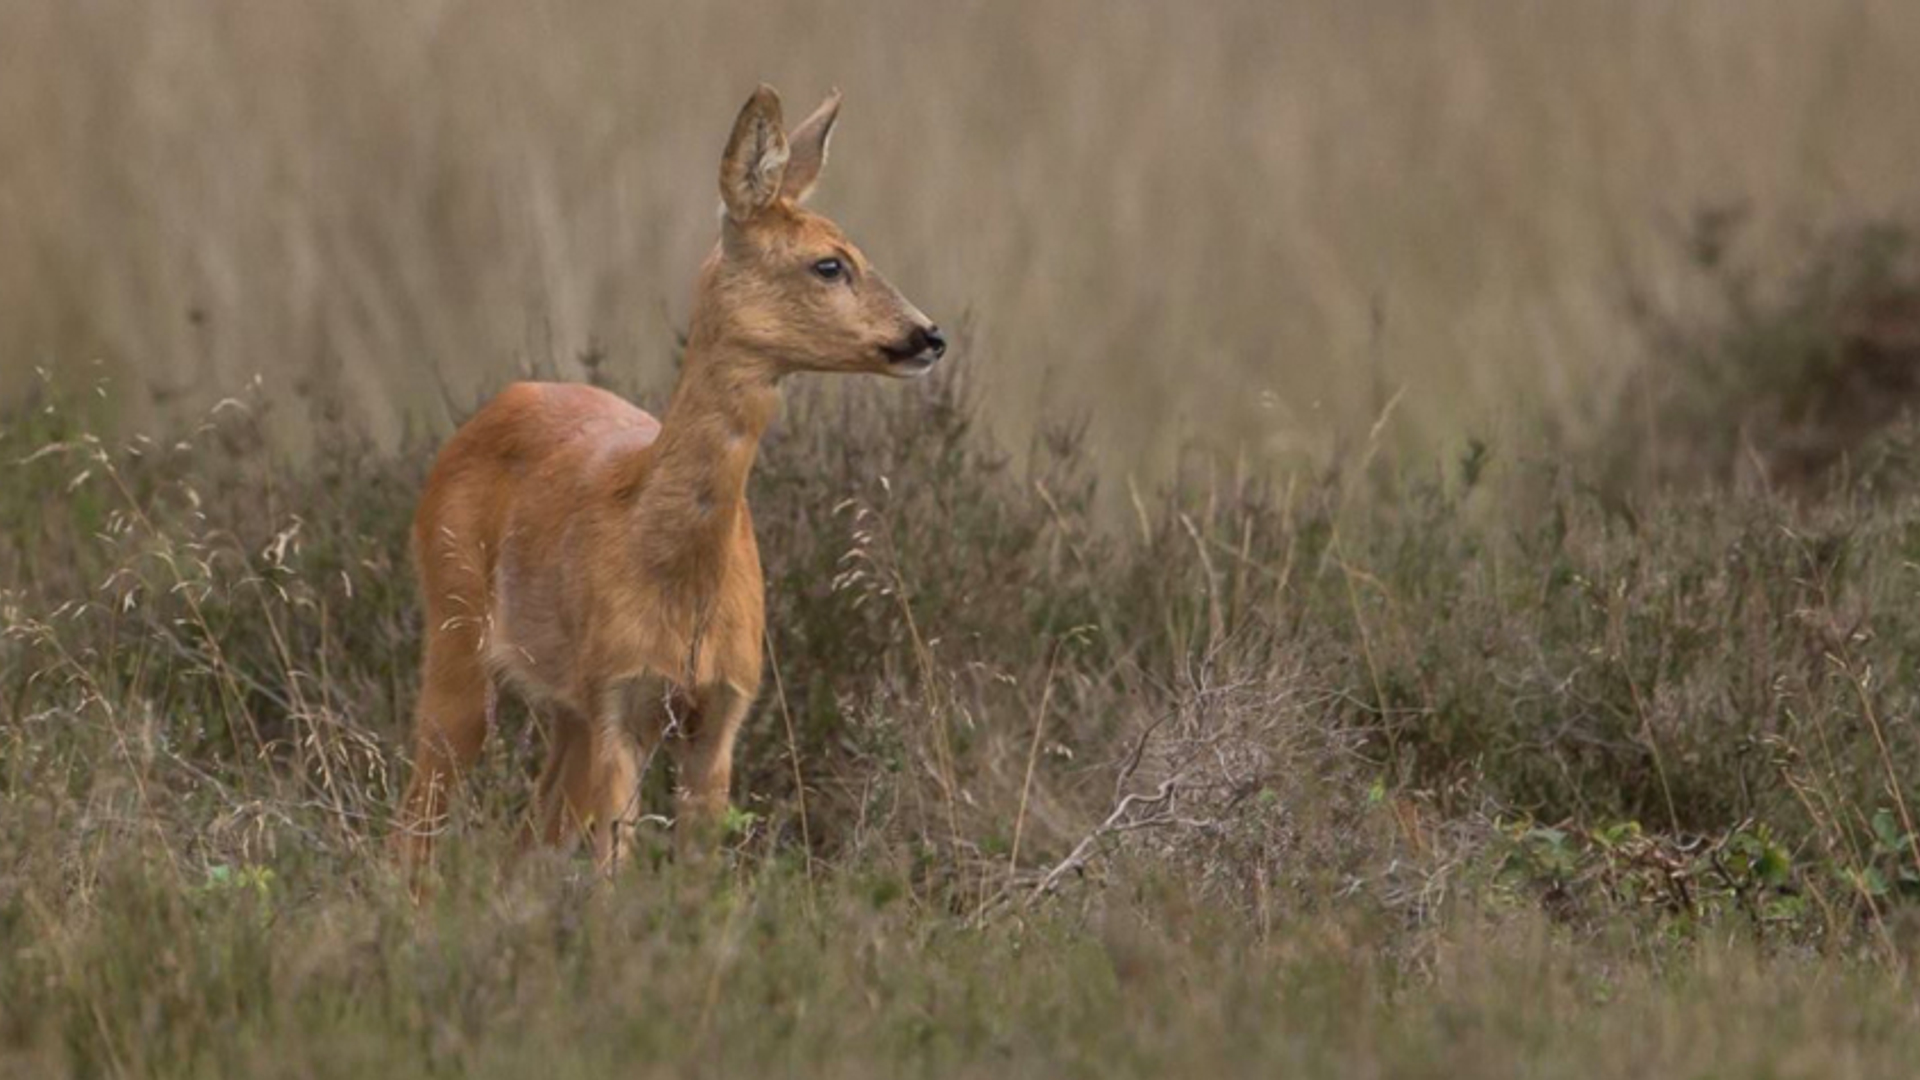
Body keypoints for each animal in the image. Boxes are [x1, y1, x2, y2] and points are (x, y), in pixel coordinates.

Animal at [395, 85, 944, 876]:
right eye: (829, 264)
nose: (929, 335)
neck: (676, 573)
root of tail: (495, 406)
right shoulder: (621, 698)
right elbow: (615, 876)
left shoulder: (719, 710)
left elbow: (698, 878)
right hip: (457, 634)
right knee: (413, 831)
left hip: (569, 712)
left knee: (524, 839)